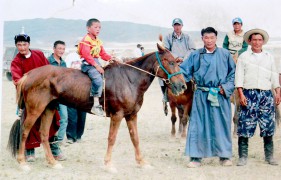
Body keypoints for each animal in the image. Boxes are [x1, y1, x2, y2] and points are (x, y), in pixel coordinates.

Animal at [7, 43, 186, 172]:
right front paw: (108, 164)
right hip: (35, 110)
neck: (130, 79)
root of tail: (28, 75)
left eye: (177, 61)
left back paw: (52, 162)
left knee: (44, 134)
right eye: (170, 62)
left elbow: (135, 138)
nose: (182, 85)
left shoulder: (131, 115)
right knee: (25, 131)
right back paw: (22, 162)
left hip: (49, 108)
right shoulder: (117, 115)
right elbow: (112, 138)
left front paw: (141, 162)